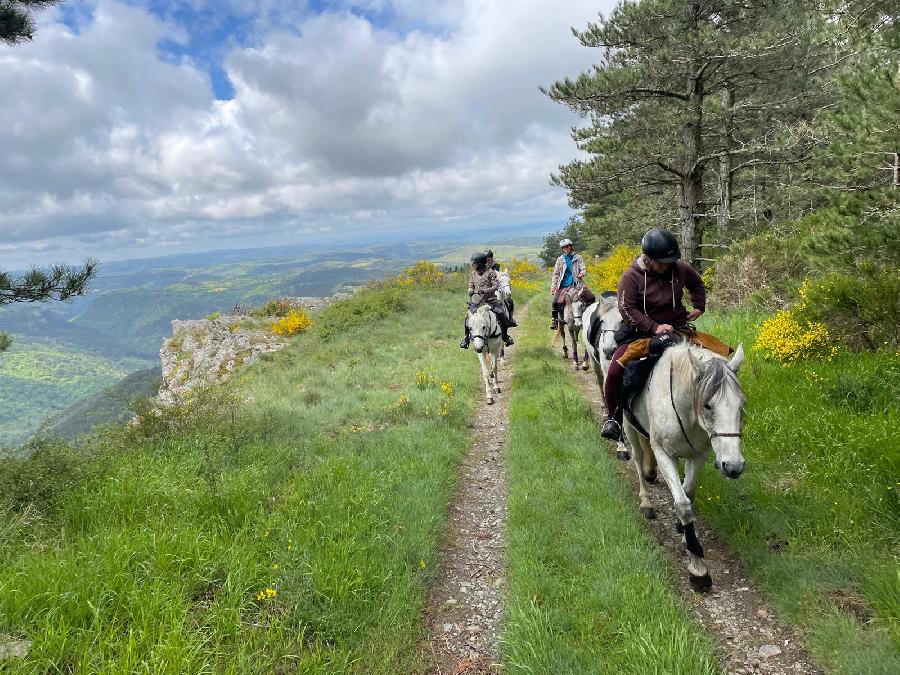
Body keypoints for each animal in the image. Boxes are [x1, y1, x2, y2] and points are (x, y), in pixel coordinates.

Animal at [624, 344, 744, 592]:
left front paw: (683, 534)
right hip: (628, 425)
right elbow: (683, 504)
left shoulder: (697, 457)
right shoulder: (664, 454)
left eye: (742, 405)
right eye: (708, 405)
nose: (733, 466)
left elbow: (688, 492)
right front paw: (698, 567)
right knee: (638, 459)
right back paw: (645, 501)